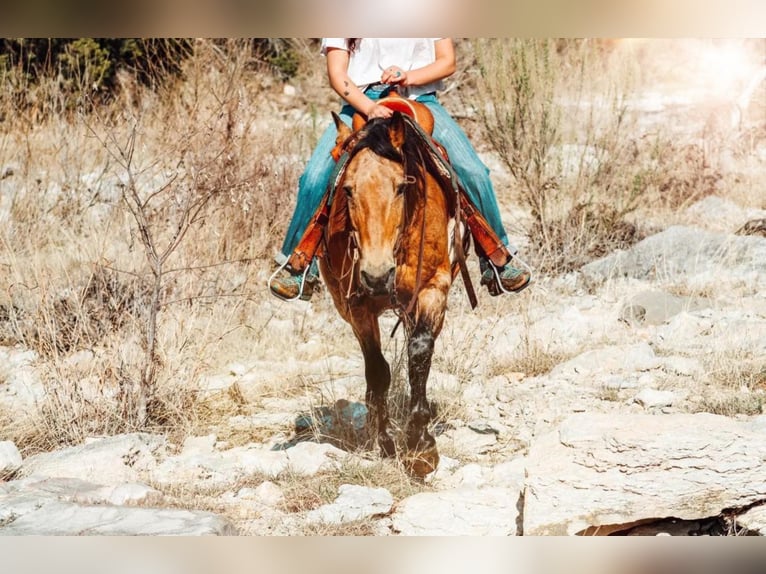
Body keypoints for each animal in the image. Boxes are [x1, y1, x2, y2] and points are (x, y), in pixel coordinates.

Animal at [318, 99, 474, 476]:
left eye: (401, 187)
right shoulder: (356, 306)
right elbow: (378, 370)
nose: (377, 275)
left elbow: (419, 351)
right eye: (348, 190)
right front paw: (387, 441)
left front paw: (421, 447)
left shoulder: (432, 288)